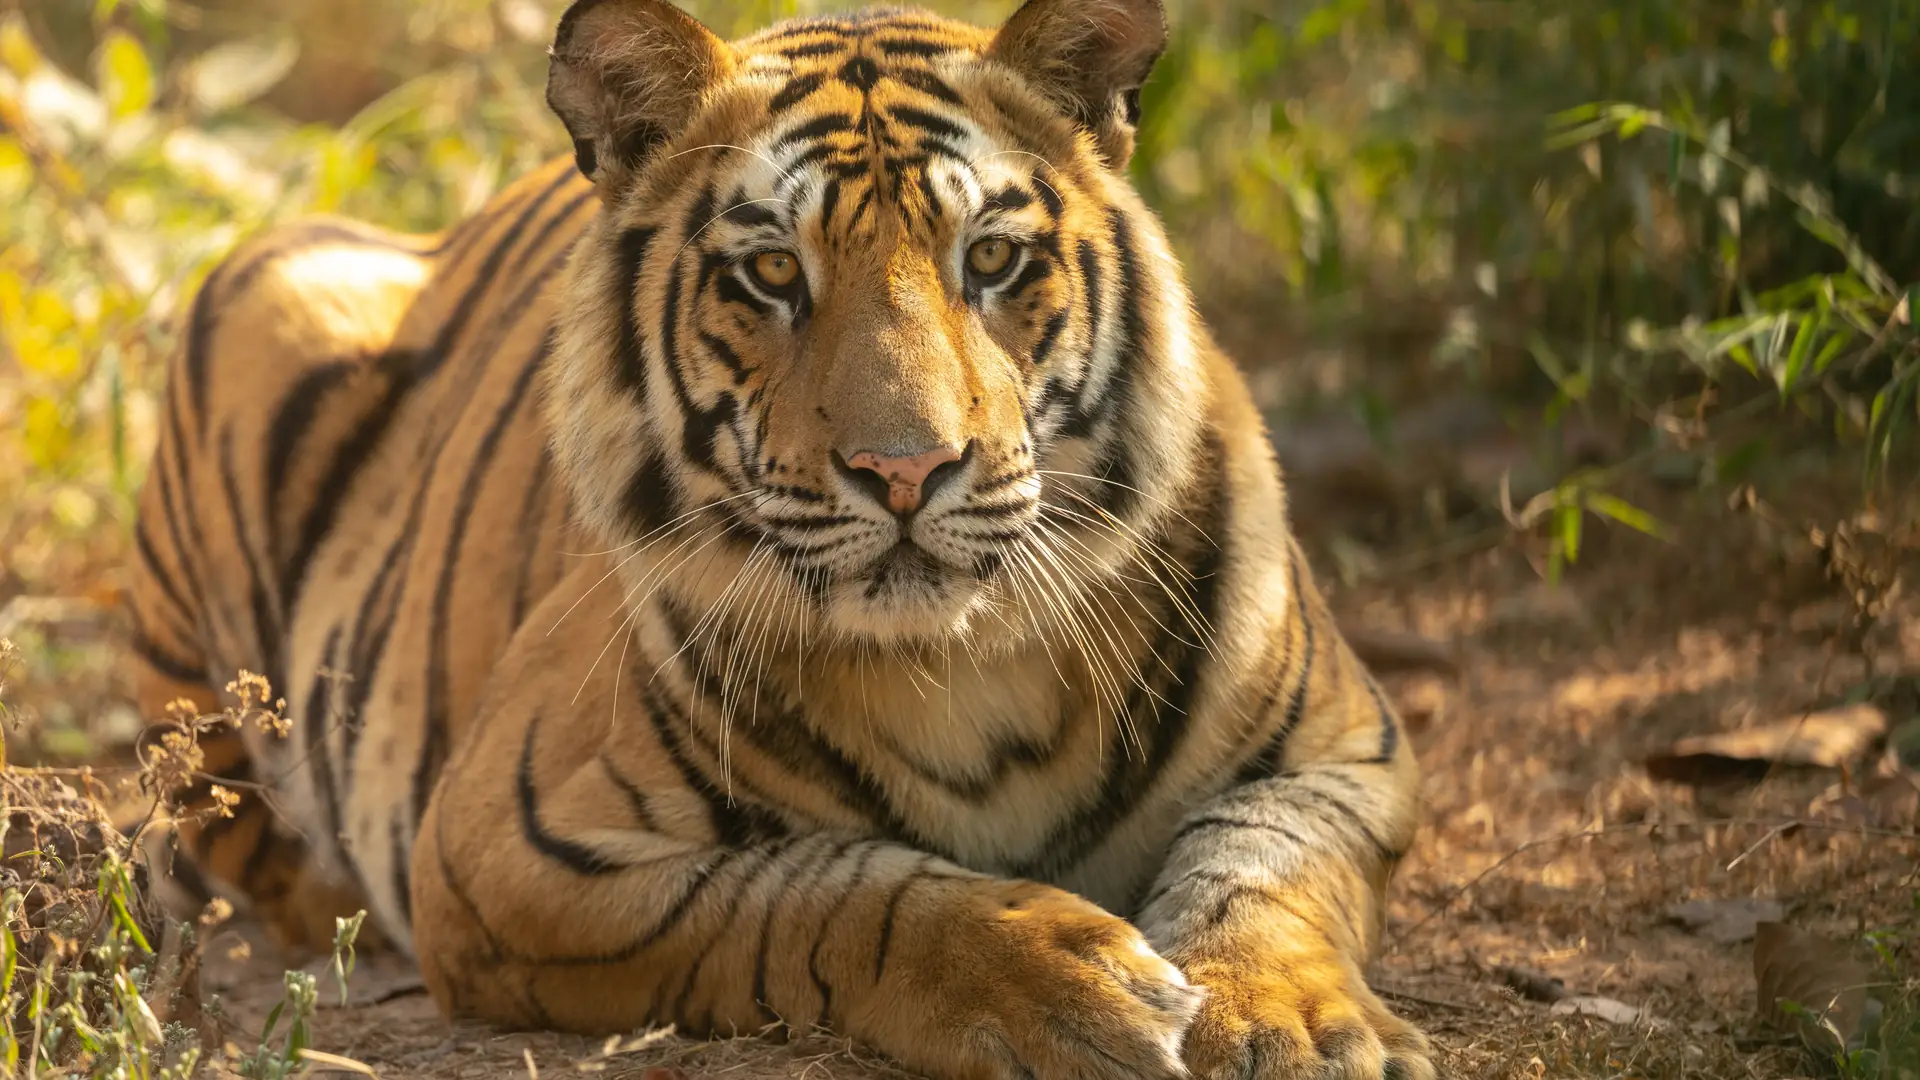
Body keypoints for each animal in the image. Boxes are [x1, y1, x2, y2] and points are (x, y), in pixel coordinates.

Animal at [123, 0, 1436, 1076]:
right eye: (770, 272)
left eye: (990, 257)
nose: (905, 470)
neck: (960, 664)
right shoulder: (506, 852)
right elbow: (828, 893)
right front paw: (1068, 981)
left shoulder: (1343, 754)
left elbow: (1259, 869)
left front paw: (1288, 1026)